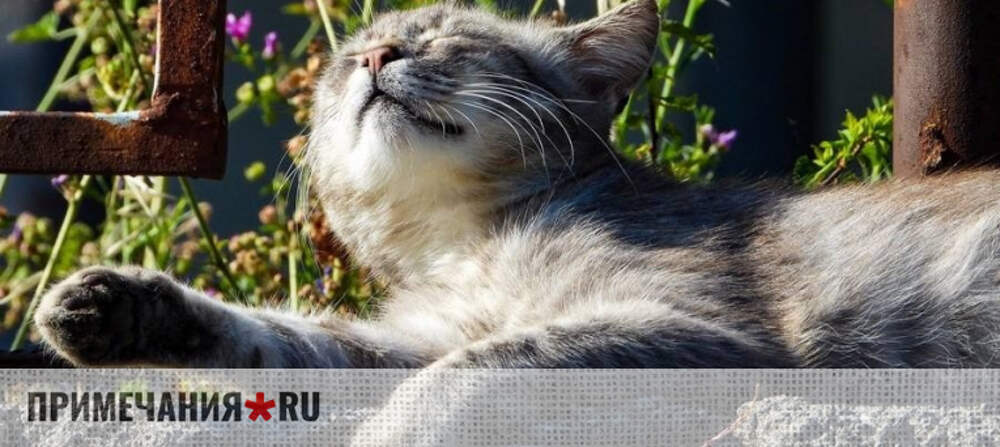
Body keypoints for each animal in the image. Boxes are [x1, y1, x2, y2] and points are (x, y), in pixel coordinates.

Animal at [33, 0, 1000, 368]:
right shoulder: (409, 335)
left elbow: (466, 371)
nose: (377, 58)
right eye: (351, 55)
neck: (468, 242)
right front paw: (118, 305)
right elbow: (280, 337)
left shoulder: (701, 325)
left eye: (449, 38)